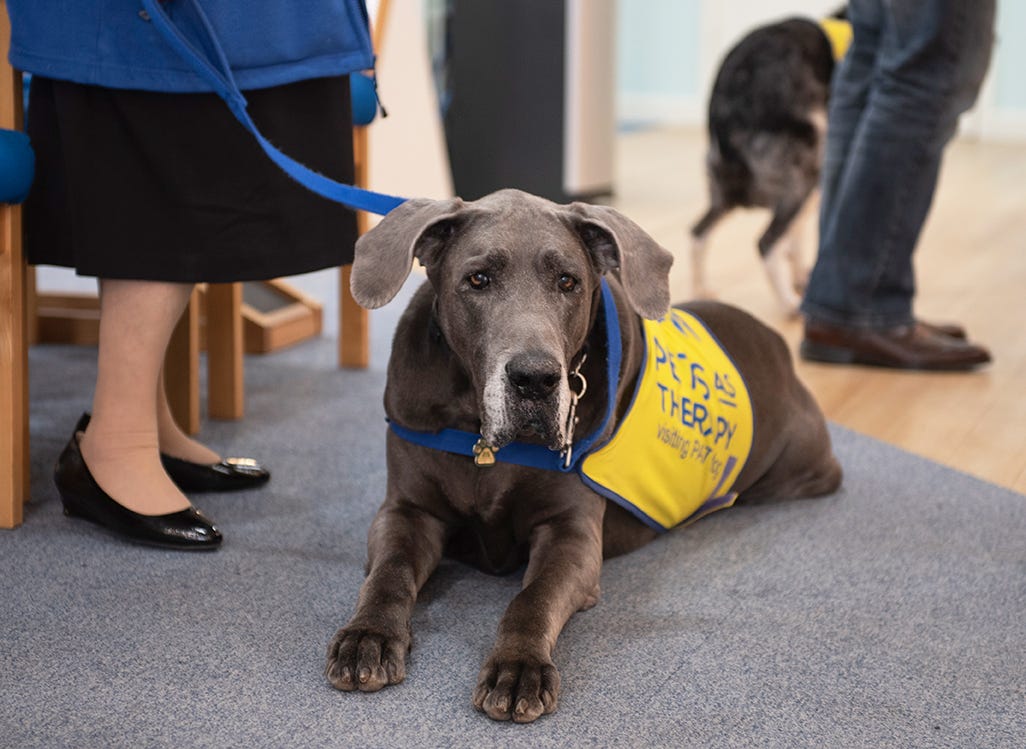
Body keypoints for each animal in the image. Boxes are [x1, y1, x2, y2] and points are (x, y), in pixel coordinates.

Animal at [328, 186, 841, 718]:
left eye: (568, 281)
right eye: (478, 279)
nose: (535, 378)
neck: (482, 435)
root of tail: (776, 340)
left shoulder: (571, 534)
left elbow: (532, 598)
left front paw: (519, 667)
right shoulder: (407, 510)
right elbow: (389, 573)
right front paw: (368, 636)